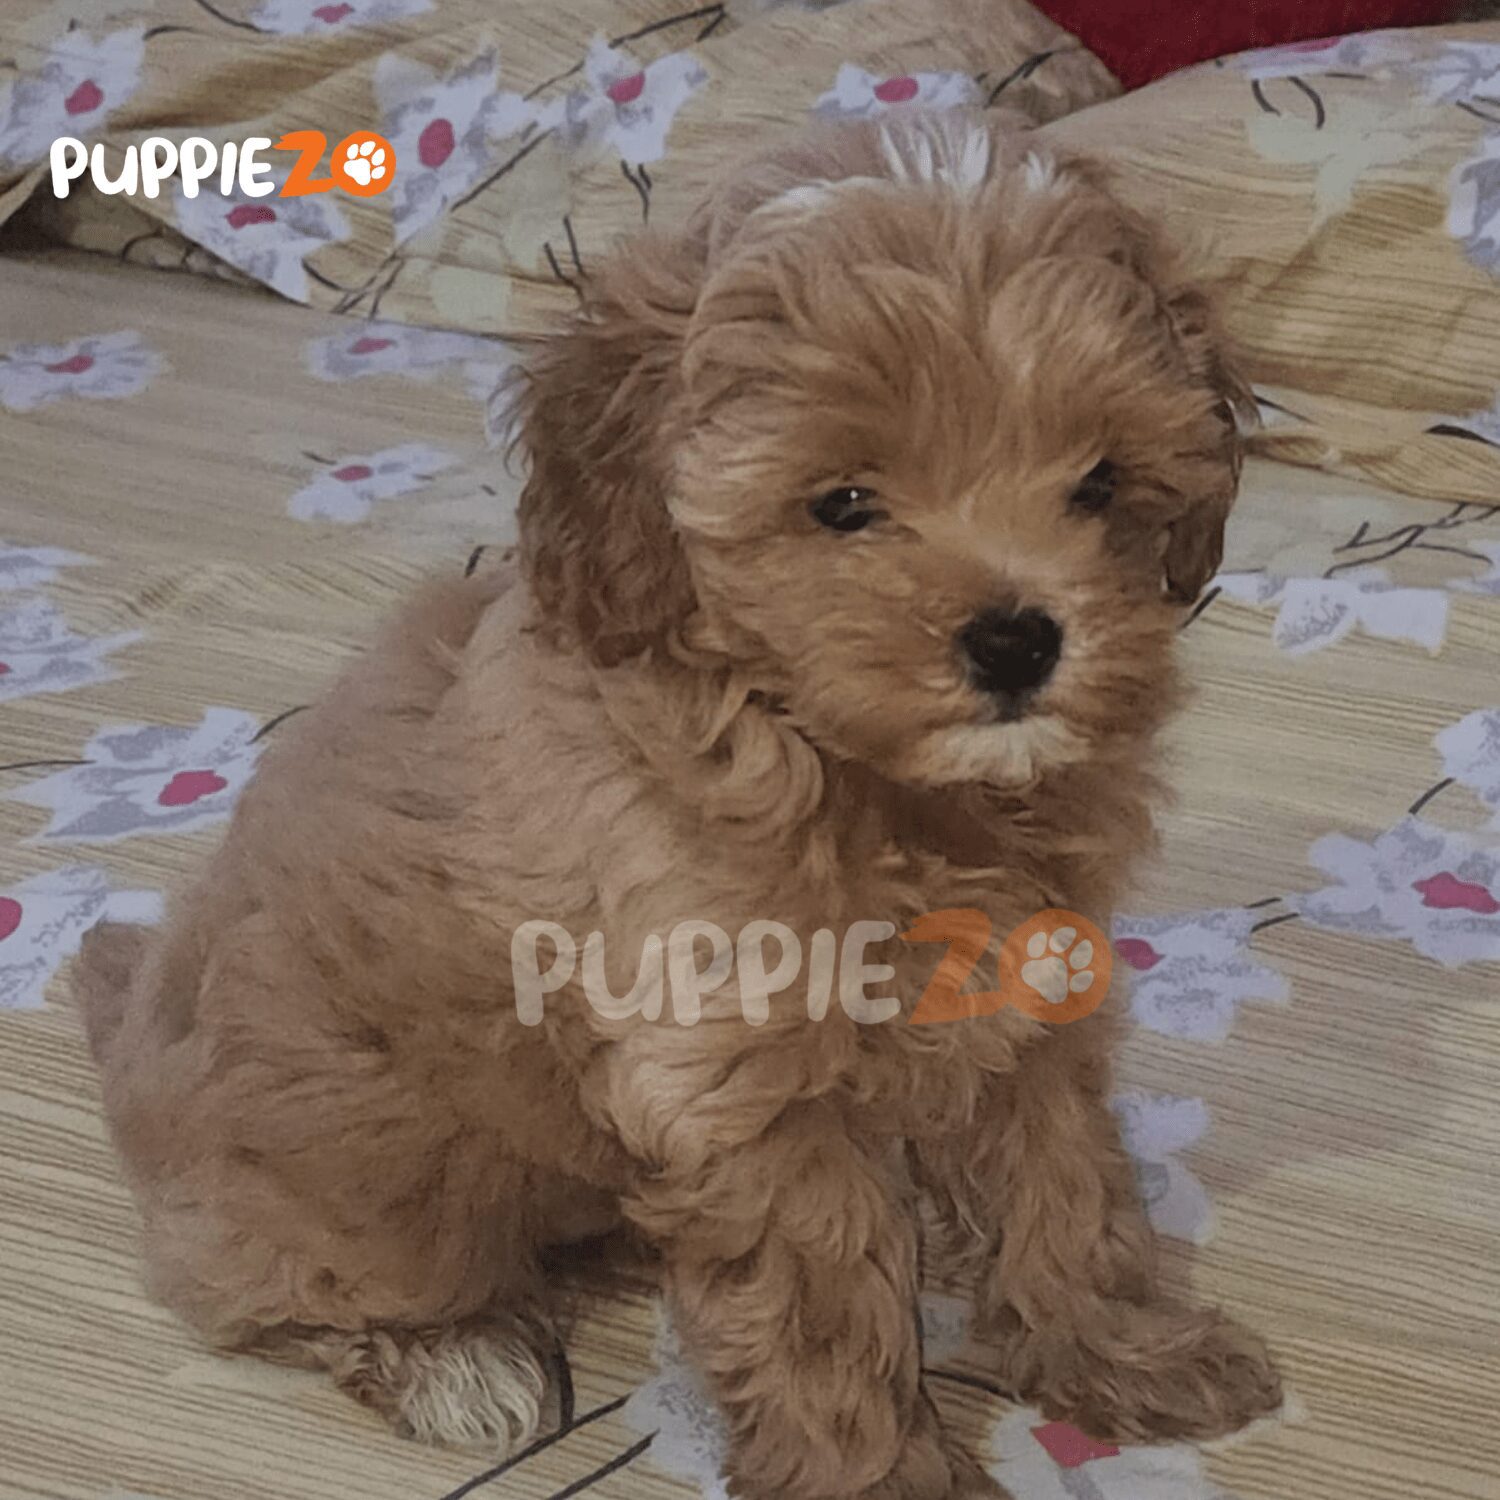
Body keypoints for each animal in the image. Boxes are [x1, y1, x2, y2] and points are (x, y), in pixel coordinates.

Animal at [77, 113, 1281, 1500]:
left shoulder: (1032, 1005)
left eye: (1098, 483)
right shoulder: (740, 1083)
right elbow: (825, 1313)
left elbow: (1068, 1189)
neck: (874, 782)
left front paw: (1122, 1350)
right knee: (280, 1294)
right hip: (367, 1188)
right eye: (844, 504)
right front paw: (879, 1477)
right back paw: (456, 1361)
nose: (1018, 641)